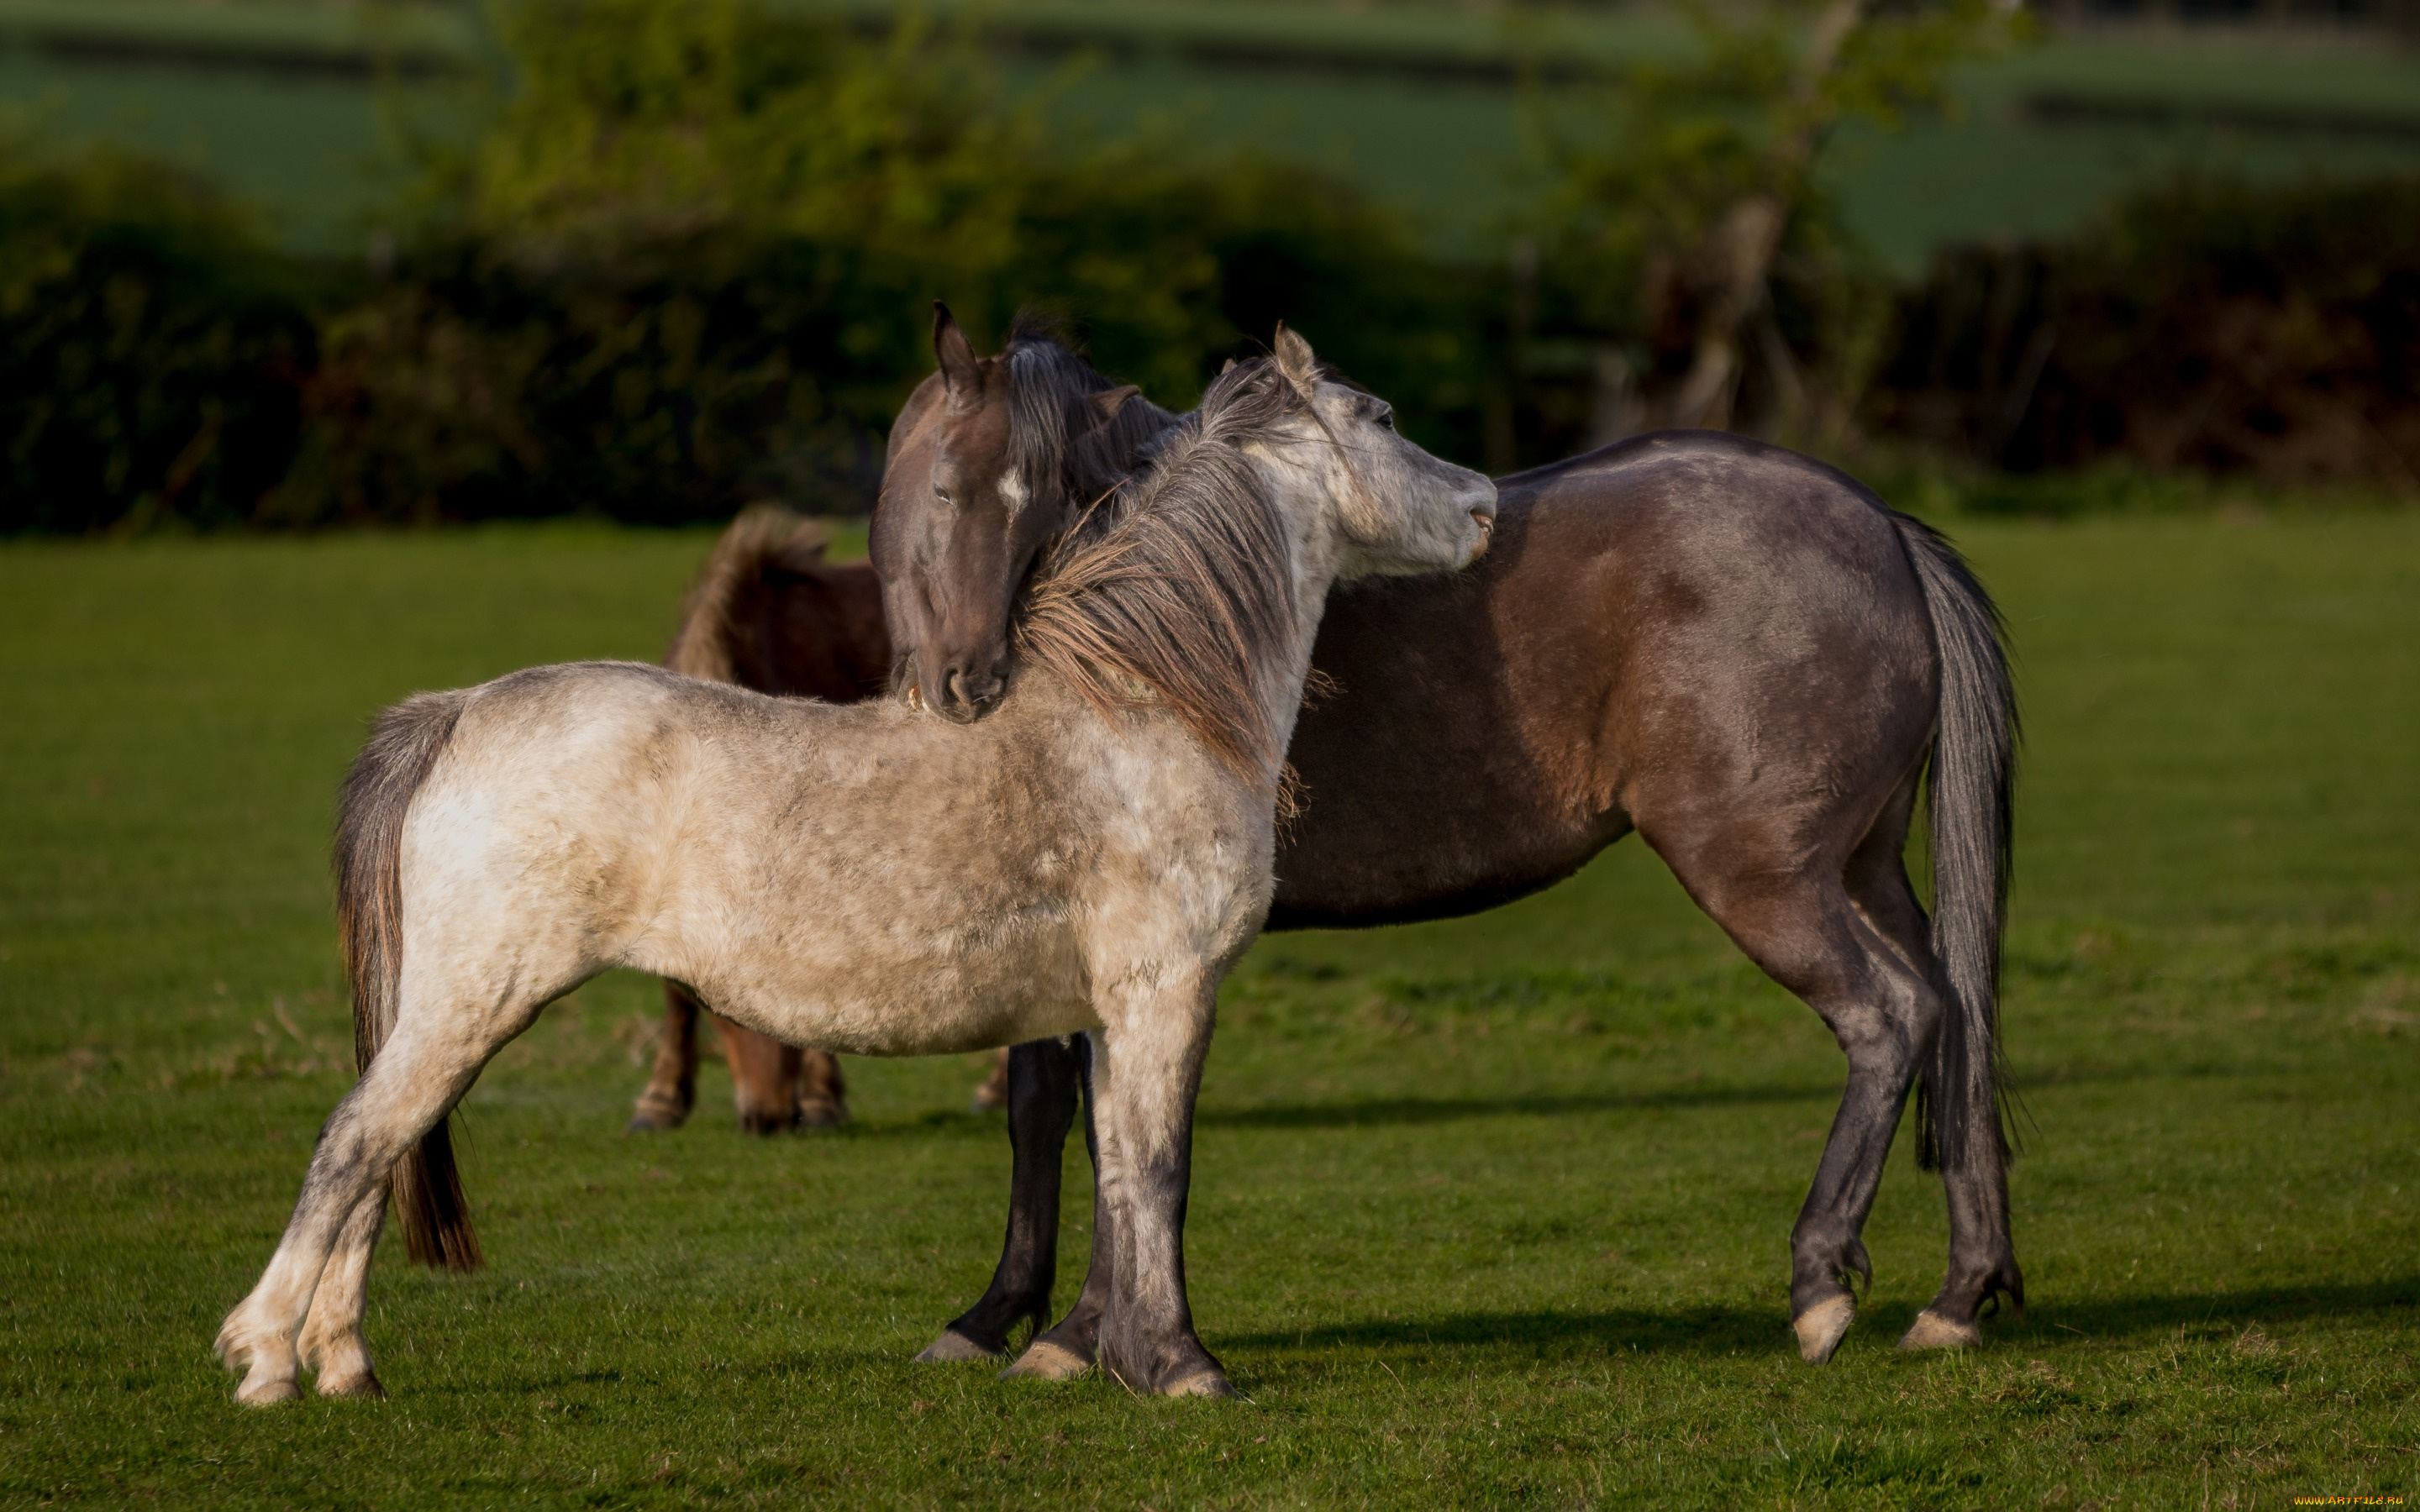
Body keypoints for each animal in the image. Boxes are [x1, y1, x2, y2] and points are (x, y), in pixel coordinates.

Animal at [218, 333, 1491, 1403]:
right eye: (1381, 417)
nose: (1484, 503)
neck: (1142, 711)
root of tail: (458, 711)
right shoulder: (1165, 994)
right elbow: (1161, 1172)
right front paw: (1182, 1368)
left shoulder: (1106, 1014)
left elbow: (1121, 1174)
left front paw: (1106, 1354)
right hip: (468, 1000)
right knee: (354, 1144)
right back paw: (269, 1360)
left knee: (382, 1156)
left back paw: (345, 1366)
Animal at [876, 309, 2023, 1383]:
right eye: (947, 492)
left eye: (1038, 498)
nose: (972, 681)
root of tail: (1878, 521)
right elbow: (1050, 1111)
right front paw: (1014, 1319)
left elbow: (1118, 1127)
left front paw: (1078, 1332)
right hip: (1862, 872)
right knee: (1954, 1014)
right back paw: (1959, 1297)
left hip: (1765, 883)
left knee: (1888, 1019)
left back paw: (1821, 1280)